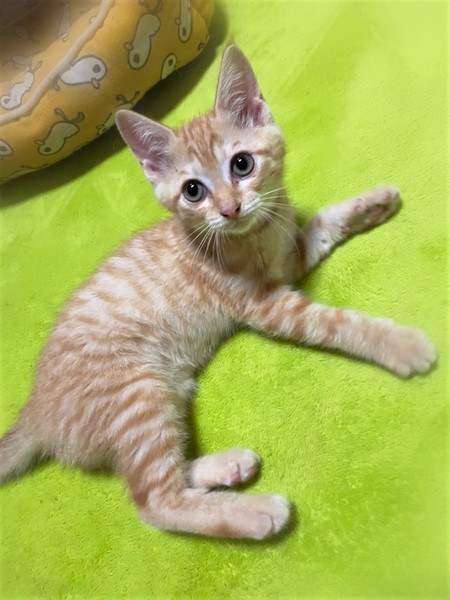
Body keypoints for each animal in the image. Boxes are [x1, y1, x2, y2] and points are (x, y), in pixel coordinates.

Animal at [0, 46, 436, 540]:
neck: (255, 234)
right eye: (193, 191)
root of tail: (35, 413)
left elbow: (322, 221)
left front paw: (373, 202)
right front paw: (400, 344)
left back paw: (226, 467)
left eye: (242, 164)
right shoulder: (268, 306)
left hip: (163, 396)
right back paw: (255, 511)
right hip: (138, 393)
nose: (229, 209)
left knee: (163, 471)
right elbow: (338, 323)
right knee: (154, 501)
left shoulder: (289, 258)